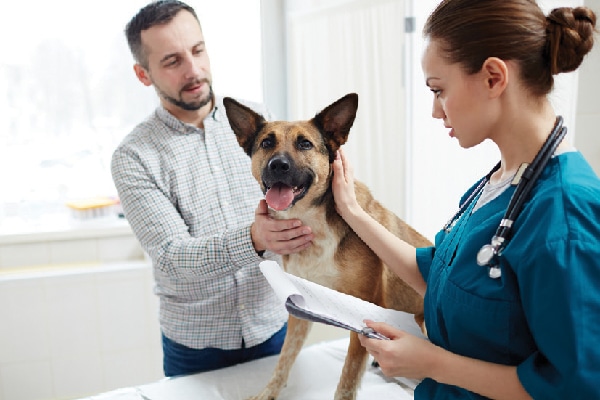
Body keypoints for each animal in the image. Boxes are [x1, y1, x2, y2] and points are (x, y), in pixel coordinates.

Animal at [224, 94, 432, 400]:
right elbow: (284, 358)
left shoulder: (363, 313)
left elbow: (347, 379)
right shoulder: (300, 306)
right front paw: (268, 392)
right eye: (266, 143)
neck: (311, 221)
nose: (277, 165)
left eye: (304, 144)